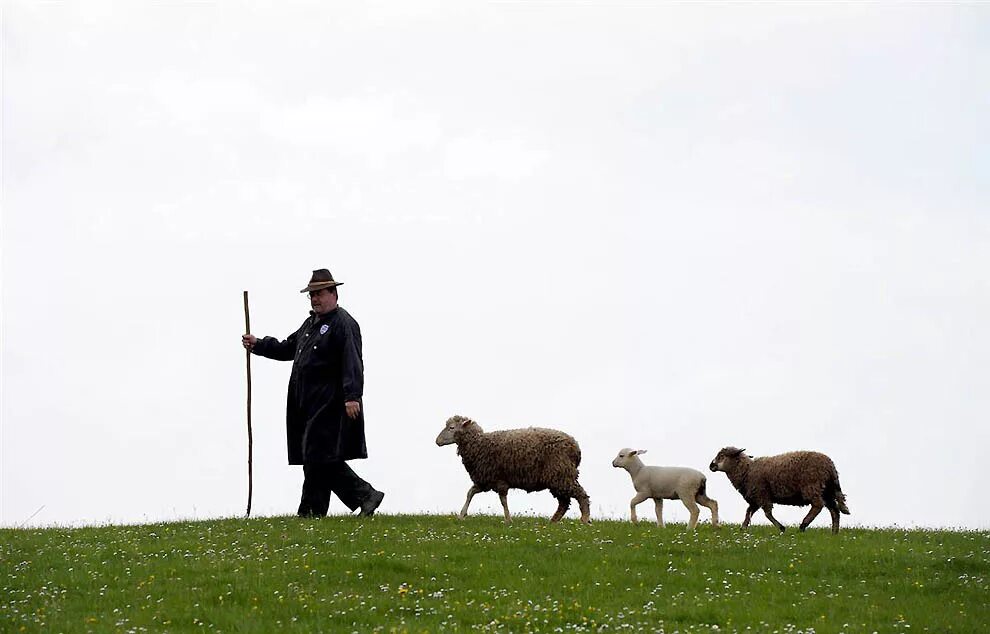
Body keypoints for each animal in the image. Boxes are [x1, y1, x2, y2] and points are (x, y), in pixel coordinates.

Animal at [434, 412, 588, 520]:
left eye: (451, 427)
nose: (437, 441)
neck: (479, 444)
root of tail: (576, 447)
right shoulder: (485, 480)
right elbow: (470, 493)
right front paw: (461, 515)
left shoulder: (499, 479)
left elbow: (503, 500)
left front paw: (508, 520)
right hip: (558, 477)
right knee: (564, 502)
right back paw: (552, 522)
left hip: (561, 474)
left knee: (580, 495)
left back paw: (585, 520)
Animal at [708, 444, 856, 532]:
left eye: (722, 456)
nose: (711, 465)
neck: (747, 471)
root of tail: (830, 465)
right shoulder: (756, 499)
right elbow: (748, 512)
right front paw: (743, 528)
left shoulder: (763, 494)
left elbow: (767, 514)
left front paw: (781, 528)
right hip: (827, 490)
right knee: (834, 510)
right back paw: (834, 532)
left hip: (812, 486)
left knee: (818, 505)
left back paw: (803, 525)